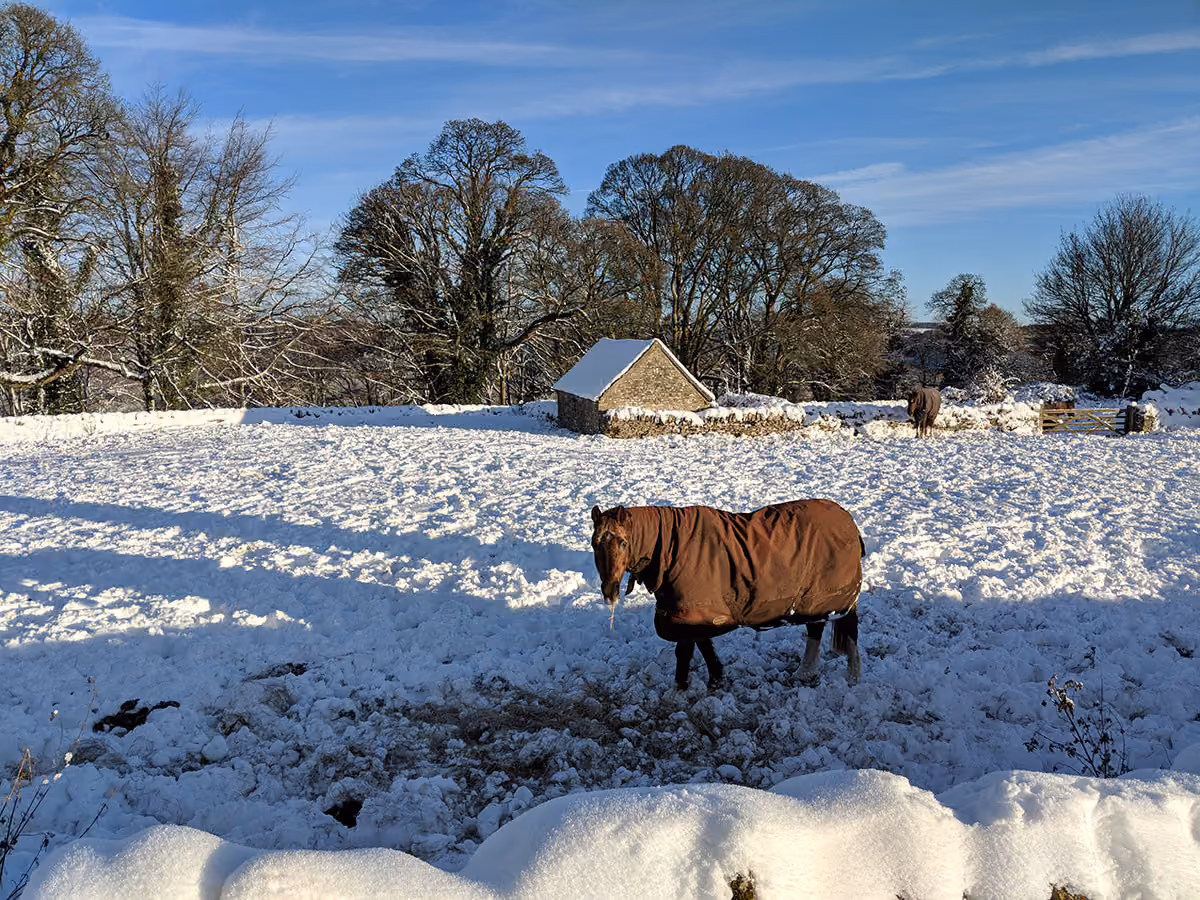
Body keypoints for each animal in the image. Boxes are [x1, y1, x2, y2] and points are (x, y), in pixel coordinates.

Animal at [590, 500, 864, 691]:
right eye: (594, 543)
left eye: (623, 542)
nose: (609, 590)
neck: (670, 548)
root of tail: (847, 520)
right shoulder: (691, 610)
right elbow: (702, 643)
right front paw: (716, 679)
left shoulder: (690, 611)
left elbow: (685, 650)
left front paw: (679, 690)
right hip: (813, 598)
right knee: (815, 629)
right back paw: (805, 672)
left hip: (835, 598)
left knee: (848, 631)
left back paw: (852, 677)